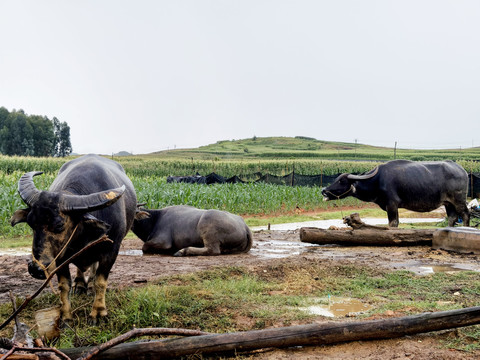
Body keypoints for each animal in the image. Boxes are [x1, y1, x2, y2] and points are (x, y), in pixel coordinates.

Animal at [10, 155, 137, 324]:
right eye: (31, 223)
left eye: (59, 225)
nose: (36, 269)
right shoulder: (59, 257)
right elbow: (64, 285)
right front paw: (65, 316)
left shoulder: (112, 249)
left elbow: (100, 281)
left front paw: (98, 313)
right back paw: (80, 284)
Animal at [320, 160, 470, 226]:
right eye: (336, 179)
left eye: (341, 181)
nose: (323, 190)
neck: (377, 181)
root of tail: (462, 170)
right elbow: (396, 222)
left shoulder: (391, 205)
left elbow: (392, 223)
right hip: (448, 203)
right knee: (452, 218)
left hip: (458, 200)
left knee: (465, 215)